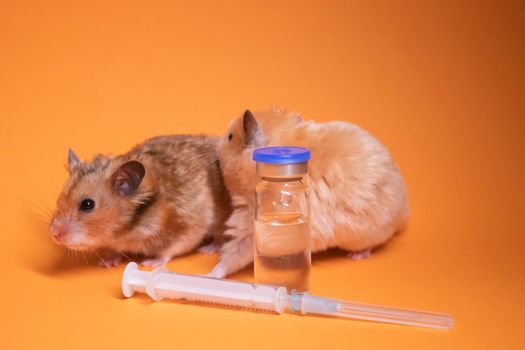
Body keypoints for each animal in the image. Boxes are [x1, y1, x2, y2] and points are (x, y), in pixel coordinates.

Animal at [50, 135, 231, 266]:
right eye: (60, 198)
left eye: (87, 205)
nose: (54, 234)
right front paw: (106, 263)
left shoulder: (187, 229)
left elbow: (169, 251)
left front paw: (149, 263)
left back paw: (207, 249)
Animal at [209, 108, 410, 278]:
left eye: (230, 136)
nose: (216, 150)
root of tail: (404, 211)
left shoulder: (253, 225)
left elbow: (234, 254)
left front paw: (210, 275)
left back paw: (356, 255)